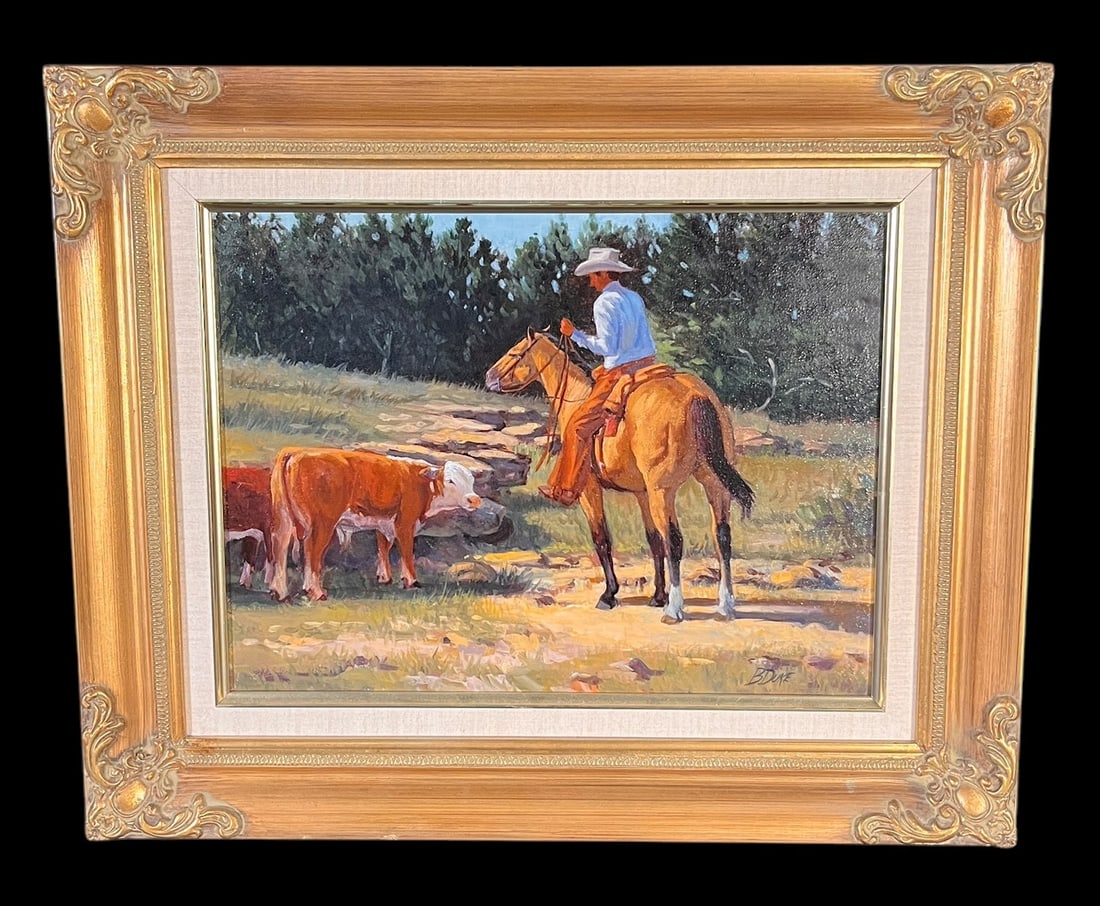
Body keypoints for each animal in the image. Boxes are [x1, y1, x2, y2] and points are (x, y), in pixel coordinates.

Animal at [268, 447, 483, 602]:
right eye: (450, 480)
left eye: (471, 480)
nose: (474, 499)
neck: (421, 483)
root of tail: (296, 452)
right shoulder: (405, 522)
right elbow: (406, 551)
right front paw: (411, 581)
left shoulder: (384, 522)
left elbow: (383, 547)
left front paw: (384, 577)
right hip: (323, 522)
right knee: (312, 552)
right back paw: (316, 592)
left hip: (284, 517)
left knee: (281, 546)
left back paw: (280, 592)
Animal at [485, 329, 754, 624]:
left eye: (514, 353)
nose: (488, 376)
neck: (577, 395)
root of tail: (696, 396)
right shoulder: (642, 492)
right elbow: (653, 540)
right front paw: (657, 596)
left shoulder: (590, 489)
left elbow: (602, 538)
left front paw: (609, 594)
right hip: (714, 484)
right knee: (722, 536)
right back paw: (725, 605)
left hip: (664, 490)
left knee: (675, 540)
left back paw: (675, 609)